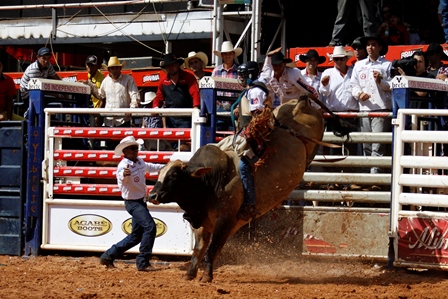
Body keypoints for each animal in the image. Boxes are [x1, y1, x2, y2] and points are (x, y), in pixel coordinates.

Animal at [149, 96, 348, 284]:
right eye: (161, 173)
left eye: (174, 176)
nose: (152, 195)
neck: (209, 182)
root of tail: (299, 104)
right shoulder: (203, 222)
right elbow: (199, 249)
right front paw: (190, 274)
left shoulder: (225, 221)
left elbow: (213, 248)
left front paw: (206, 276)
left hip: (314, 137)